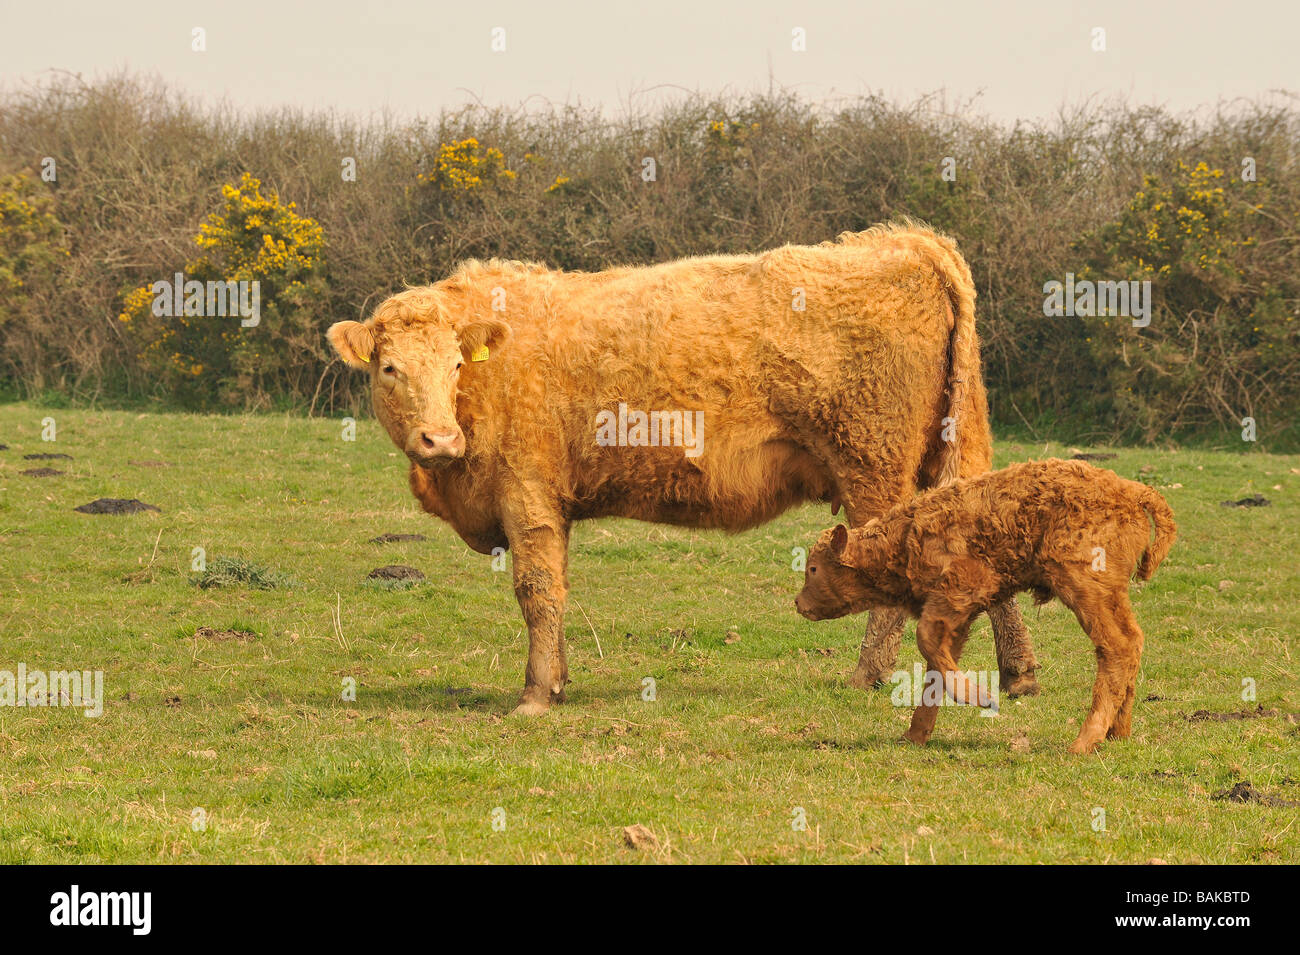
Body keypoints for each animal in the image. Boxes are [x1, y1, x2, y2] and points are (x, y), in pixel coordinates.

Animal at [330, 222, 1040, 712]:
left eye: (455, 363)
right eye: (389, 368)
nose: (438, 438)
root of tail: (906, 240)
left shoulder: (526, 494)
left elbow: (537, 592)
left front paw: (533, 697)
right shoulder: (552, 506)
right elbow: (559, 589)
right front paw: (557, 683)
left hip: (874, 466)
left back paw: (866, 676)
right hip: (957, 454)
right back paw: (1019, 675)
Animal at [795, 457, 1175, 753]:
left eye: (813, 568)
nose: (798, 603)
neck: (906, 538)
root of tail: (1132, 491)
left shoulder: (961, 591)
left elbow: (927, 642)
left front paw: (979, 696)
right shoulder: (957, 617)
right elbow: (936, 667)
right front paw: (915, 734)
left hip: (1086, 588)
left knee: (1116, 647)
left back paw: (1084, 741)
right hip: (1111, 595)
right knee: (1132, 642)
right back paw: (1117, 732)